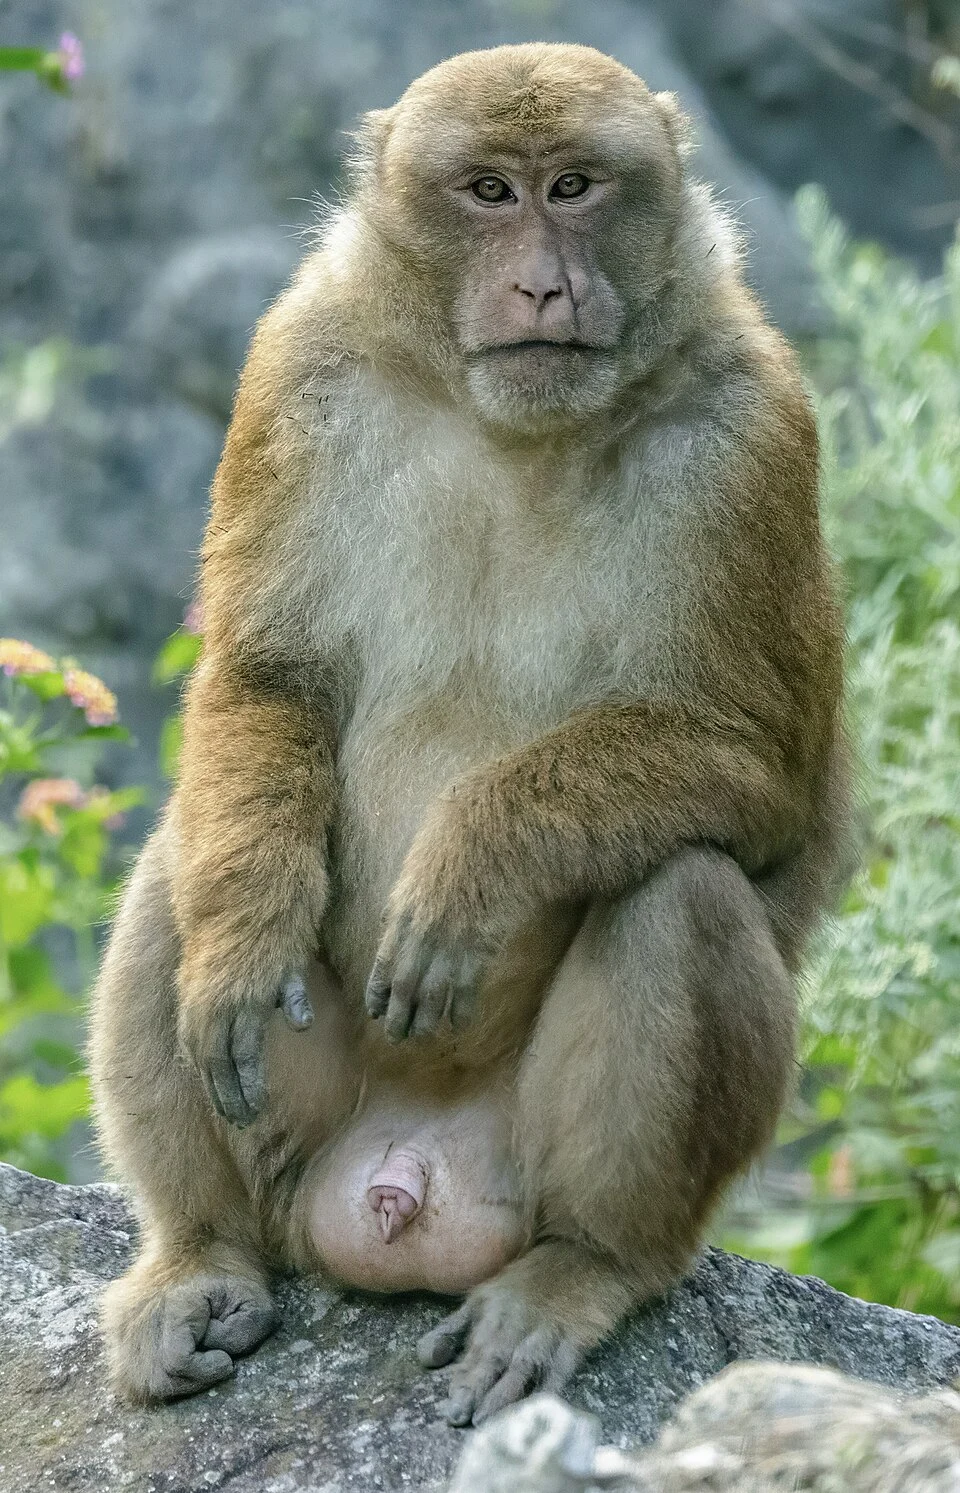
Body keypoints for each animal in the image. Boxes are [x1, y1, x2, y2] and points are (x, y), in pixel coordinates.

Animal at [89, 42, 846, 1425]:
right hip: (302, 1134)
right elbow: (267, 685)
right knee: (192, 858)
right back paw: (199, 1251)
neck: (511, 423)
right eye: (490, 191)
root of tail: (399, 1181)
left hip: (523, 1172)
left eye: (576, 186)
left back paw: (583, 1269)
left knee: (679, 886)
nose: (543, 279)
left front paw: (474, 860)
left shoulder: (753, 434)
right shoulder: (298, 368)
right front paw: (242, 939)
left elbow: (759, 769)